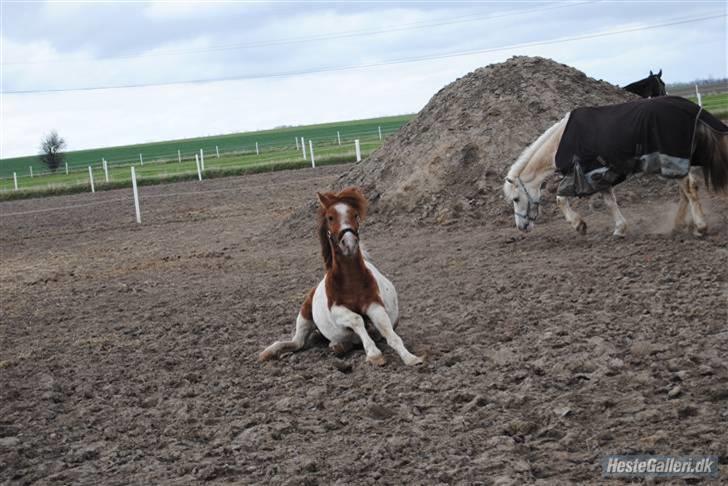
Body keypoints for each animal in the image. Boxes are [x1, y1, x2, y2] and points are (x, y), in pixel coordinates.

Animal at [260, 188, 420, 366]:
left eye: (355, 215)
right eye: (330, 217)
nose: (349, 243)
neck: (351, 282)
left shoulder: (374, 305)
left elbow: (388, 331)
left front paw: (410, 357)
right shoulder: (337, 311)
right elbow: (357, 319)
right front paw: (374, 354)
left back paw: (338, 345)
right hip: (304, 316)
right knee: (297, 342)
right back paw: (269, 352)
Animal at [504, 105, 724, 238]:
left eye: (516, 199)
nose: (521, 227)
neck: (560, 142)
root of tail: (693, 110)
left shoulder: (587, 175)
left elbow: (560, 199)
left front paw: (579, 224)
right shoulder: (600, 177)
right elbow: (610, 201)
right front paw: (620, 229)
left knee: (689, 188)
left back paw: (700, 227)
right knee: (685, 191)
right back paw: (679, 225)